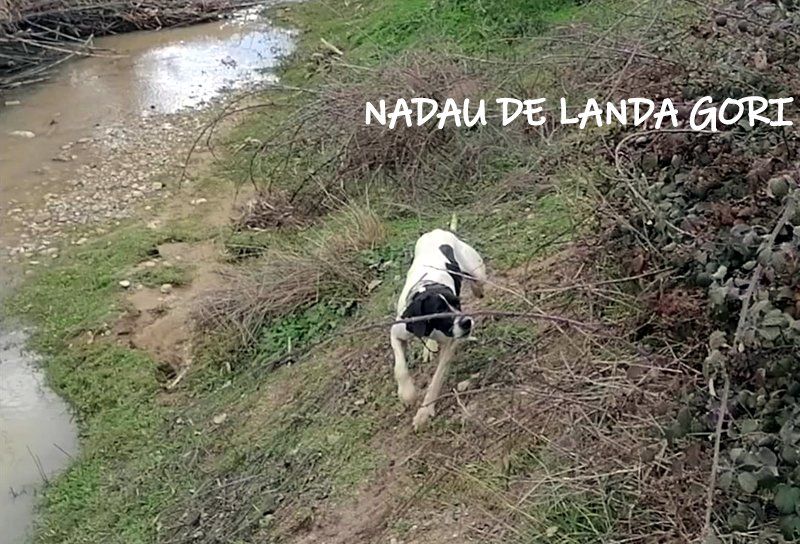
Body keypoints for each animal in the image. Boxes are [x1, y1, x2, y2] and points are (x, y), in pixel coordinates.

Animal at [390, 227, 484, 432]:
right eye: (439, 311)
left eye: (457, 303)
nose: (467, 322)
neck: (426, 288)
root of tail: (438, 230)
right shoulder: (396, 332)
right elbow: (400, 368)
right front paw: (407, 393)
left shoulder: (450, 344)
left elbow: (436, 380)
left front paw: (424, 412)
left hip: (478, 272)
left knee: (479, 282)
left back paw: (477, 289)